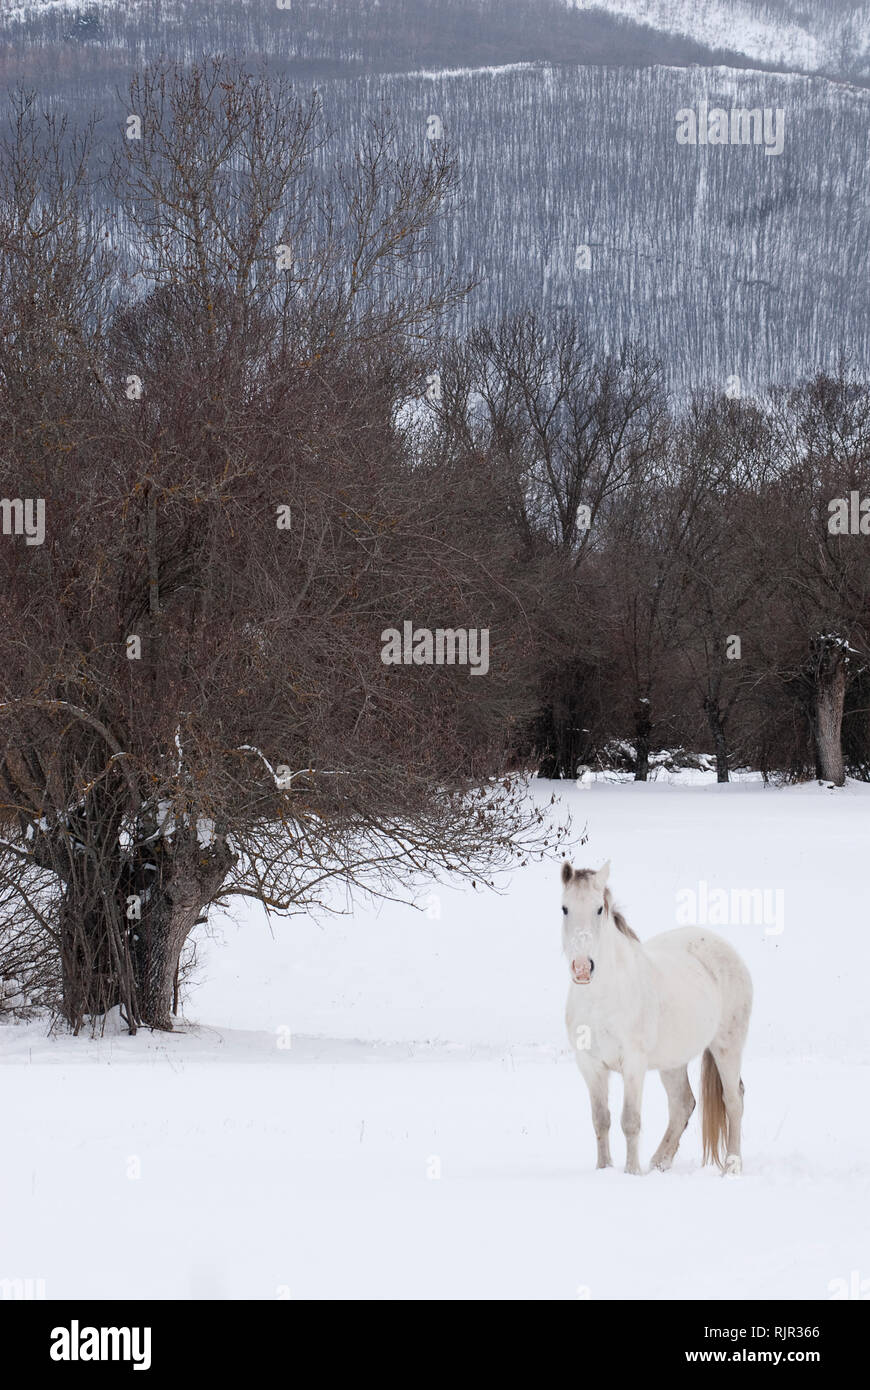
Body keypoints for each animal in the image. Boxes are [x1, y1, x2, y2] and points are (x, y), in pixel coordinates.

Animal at [561, 860, 752, 1176]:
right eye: (564, 908)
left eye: (599, 909)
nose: (582, 968)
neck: (602, 998)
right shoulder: (590, 1065)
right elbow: (601, 1120)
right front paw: (604, 1169)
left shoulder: (633, 1063)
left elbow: (630, 1121)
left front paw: (631, 1172)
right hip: (673, 1061)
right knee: (682, 1104)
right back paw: (660, 1162)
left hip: (728, 1046)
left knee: (733, 1100)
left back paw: (732, 1166)